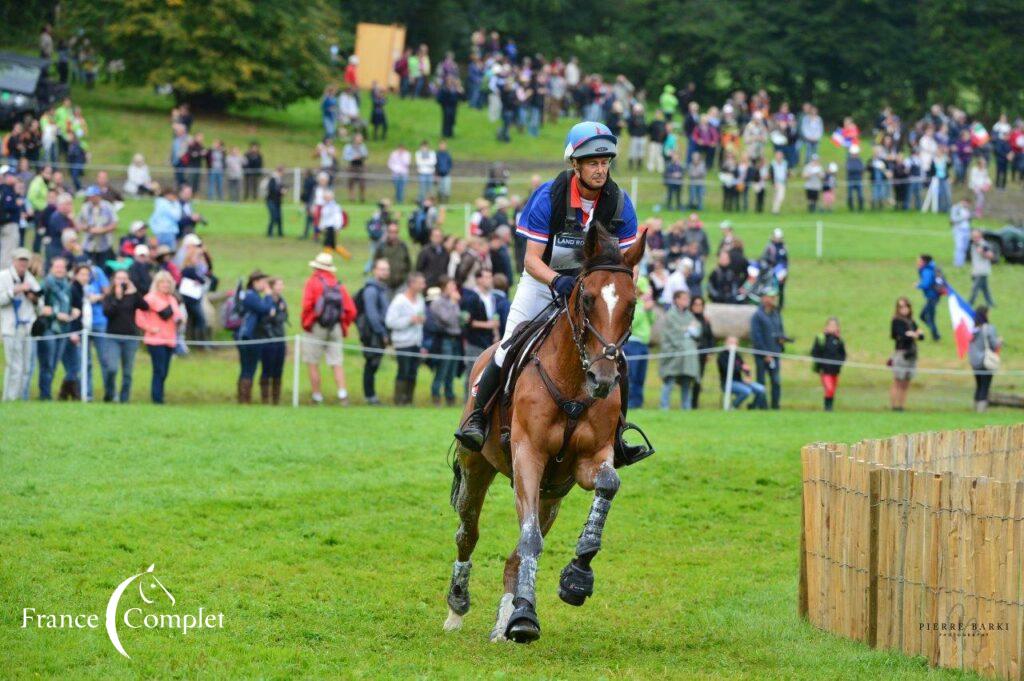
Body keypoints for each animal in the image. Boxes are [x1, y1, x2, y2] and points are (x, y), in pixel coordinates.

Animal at [442, 223, 647, 643]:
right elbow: (529, 538)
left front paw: (577, 578)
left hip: (553, 492)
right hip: (477, 467)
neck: (572, 382)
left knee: (515, 553)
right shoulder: (528, 455)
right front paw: (525, 618)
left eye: (632, 305)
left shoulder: (589, 460)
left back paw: (505, 620)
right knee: (468, 533)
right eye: (586, 298)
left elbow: (608, 484)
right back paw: (457, 607)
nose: (602, 379)